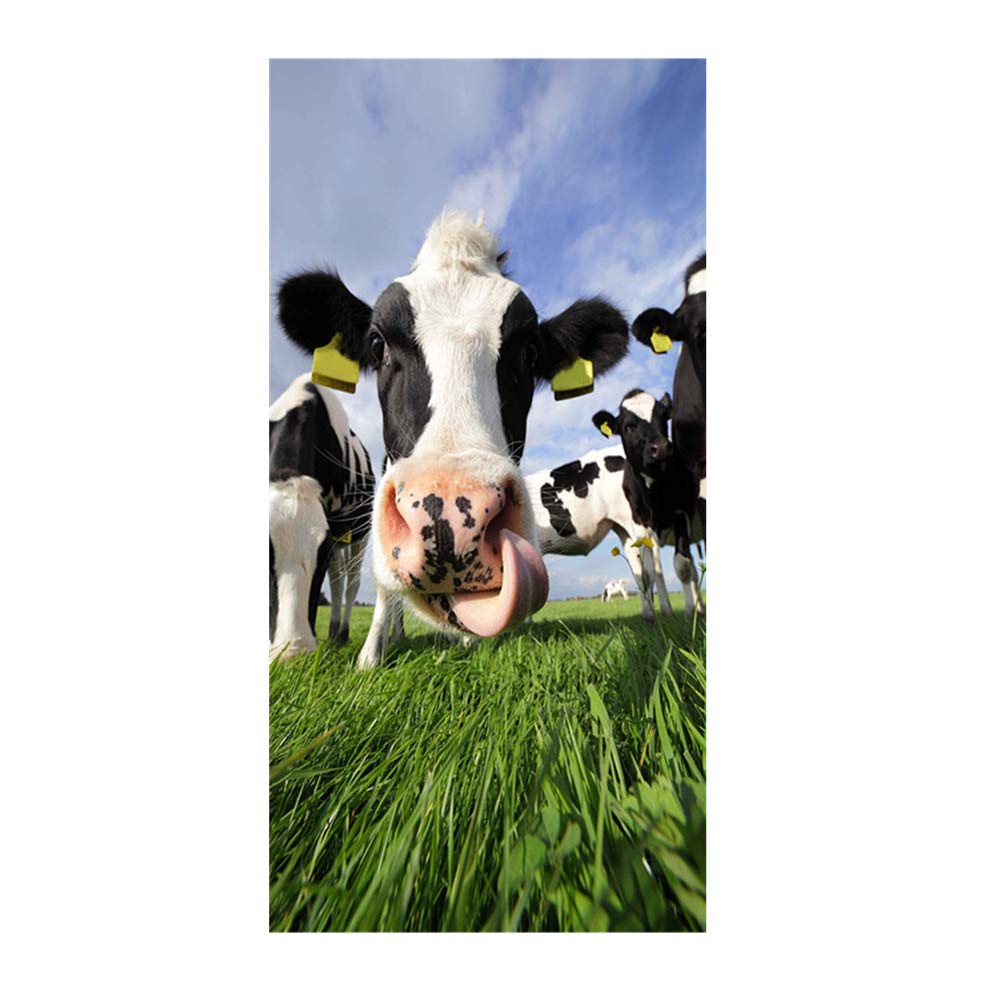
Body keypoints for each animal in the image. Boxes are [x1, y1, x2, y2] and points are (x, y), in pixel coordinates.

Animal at [269, 373, 374, 661]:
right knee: (338, 581)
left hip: (360, 534)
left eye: (321, 552)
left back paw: (342, 633)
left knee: (349, 584)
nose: (293, 655)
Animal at [591, 389, 704, 616]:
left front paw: (689, 613)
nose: (660, 447)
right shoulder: (640, 525)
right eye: (628, 426)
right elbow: (645, 573)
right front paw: (650, 616)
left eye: (663, 417)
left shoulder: (681, 514)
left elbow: (682, 566)